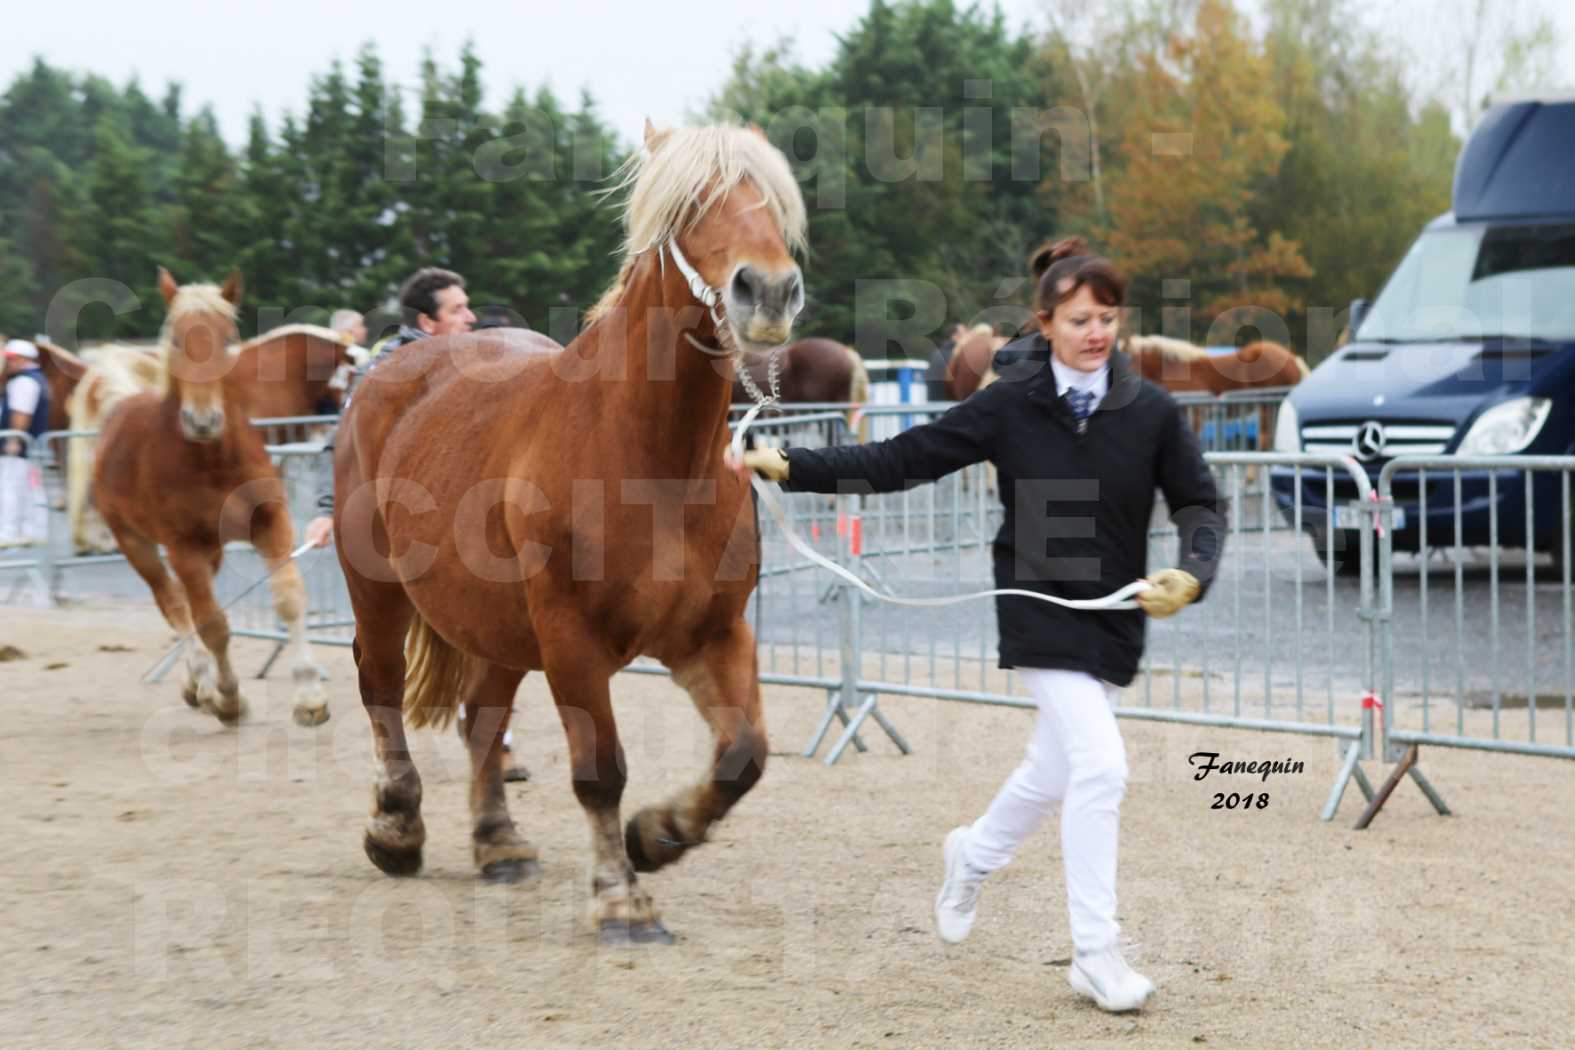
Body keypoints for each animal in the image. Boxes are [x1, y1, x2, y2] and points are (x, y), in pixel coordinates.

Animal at [92, 270, 332, 727]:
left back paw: (194, 686)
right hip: (138, 545)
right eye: (175, 339)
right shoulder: (182, 547)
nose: (202, 421)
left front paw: (310, 698)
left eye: (227, 338)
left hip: (213, 550)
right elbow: (212, 624)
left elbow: (290, 599)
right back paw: (202, 685)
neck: (212, 460)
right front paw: (228, 699)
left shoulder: (270, 522)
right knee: (174, 605)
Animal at [329, 123, 800, 944]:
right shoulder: (571, 641)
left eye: (772, 200)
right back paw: (396, 829)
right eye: (690, 205)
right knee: (380, 688)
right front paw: (621, 899)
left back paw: (499, 843)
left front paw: (658, 835)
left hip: (494, 624)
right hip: (382, 595)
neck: (651, 460)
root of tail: (389, 374)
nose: (768, 292)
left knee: (482, 718)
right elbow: (600, 770)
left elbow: (744, 755)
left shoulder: (713, 634)